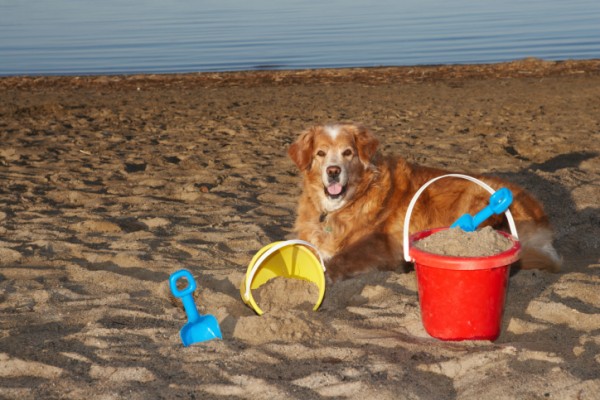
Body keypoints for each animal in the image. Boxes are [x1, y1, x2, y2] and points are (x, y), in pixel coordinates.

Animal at [288, 122, 560, 282]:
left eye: (348, 153)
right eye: (320, 153)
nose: (333, 171)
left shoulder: (378, 245)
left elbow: (339, 260)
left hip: (474, 196)